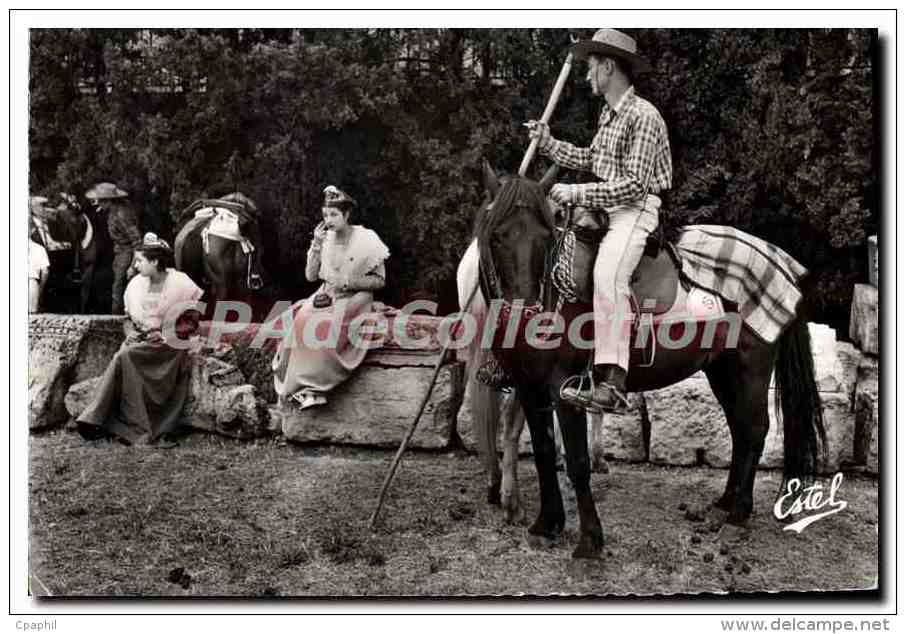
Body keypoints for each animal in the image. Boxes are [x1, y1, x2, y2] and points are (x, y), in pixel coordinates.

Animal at [462, 165, 824, 556]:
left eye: (545, 236)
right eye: (497, 236)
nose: (528, 313)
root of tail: (780, 261)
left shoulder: (563, 389)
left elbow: (576, 462)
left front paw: (589, 540)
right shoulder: (530, 389)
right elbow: (543, 452)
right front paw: (546, 524)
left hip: (750, 367)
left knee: (755, 429)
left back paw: (737, 517)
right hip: (722, 371)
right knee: (740, 430)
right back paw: (723, 506)